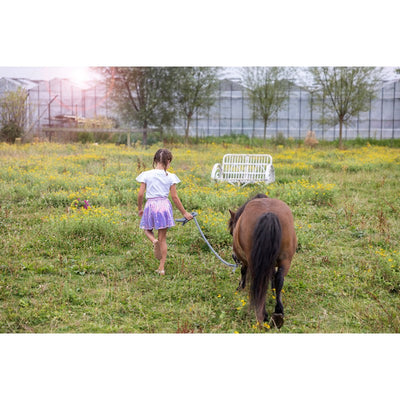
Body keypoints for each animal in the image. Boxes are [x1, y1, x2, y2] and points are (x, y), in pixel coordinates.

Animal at [228, 194, 296, 328]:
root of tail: (269, 213)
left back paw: (262, 314)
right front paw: (273, 291)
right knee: (279, 278)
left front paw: (240, 287)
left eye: (231, 232)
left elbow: (243, 271)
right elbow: (273, 276)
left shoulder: (246, 261)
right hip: (285, 260)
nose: (234, 257)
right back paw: (278, 312)